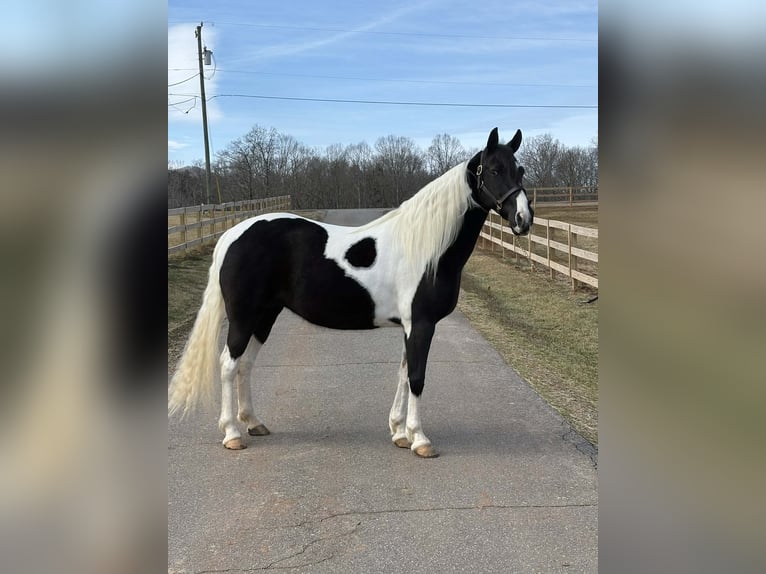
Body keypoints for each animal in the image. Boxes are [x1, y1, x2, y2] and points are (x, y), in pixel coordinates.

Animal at [168, 127, 533, 458]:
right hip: (243, 317)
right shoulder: (422, 324)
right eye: (495, 169)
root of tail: (232, 235)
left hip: (265, 316)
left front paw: (399, 433)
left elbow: (403, 373)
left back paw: (254, 423)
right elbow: (417, 377)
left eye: (521, 170)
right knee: (229, 365)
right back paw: (232, 433)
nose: (523, 219)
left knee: (245, 364)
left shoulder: (411, 326)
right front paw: (420, 439)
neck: (427, 247)